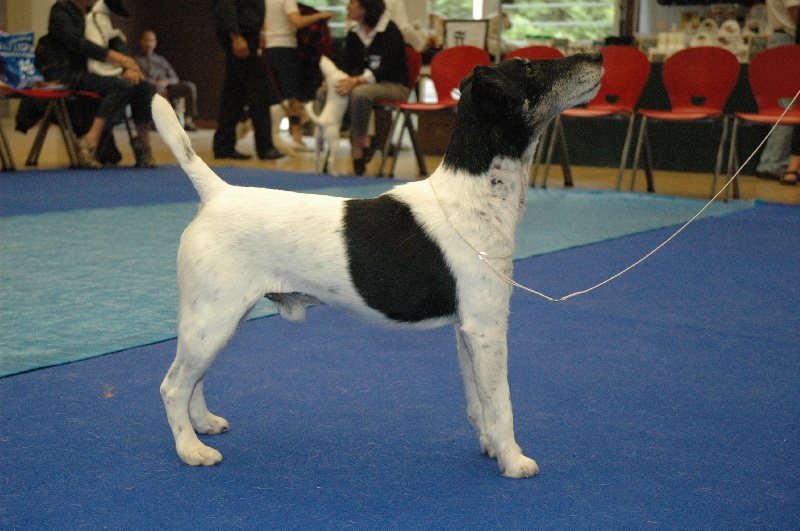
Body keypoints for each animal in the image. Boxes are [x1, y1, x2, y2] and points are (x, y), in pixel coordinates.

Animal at [152, 52, 603, 478]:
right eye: (529, 69)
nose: (599, 57)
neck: (474, 195)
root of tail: (218, 194)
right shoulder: (488, 328)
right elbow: (501, 403)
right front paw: (513, 460)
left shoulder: (469, 331)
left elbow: (479, 402)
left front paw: (491, 448)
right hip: (212, 319)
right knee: (173, 387)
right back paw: (191, 449)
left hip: (216, 323)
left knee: (194, 380)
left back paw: (204, 424)